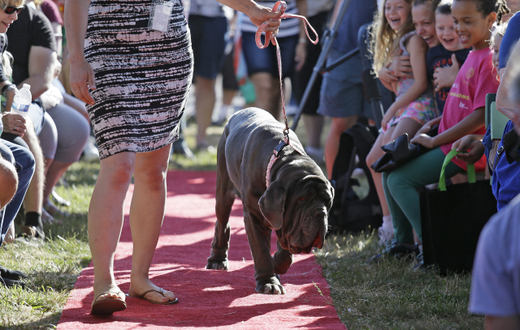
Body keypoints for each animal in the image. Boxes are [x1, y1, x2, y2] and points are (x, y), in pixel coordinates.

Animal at [206, 107, 334, 294]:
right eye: (301, 199)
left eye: (327, 201)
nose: (320, 213)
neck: (281, 159)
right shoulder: (255, 216)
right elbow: (261, 252)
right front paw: (268, 282)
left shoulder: (283, 221)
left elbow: (285, 247)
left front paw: (278, 264)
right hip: (223, 188)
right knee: (222, 222)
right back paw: (217, 259)